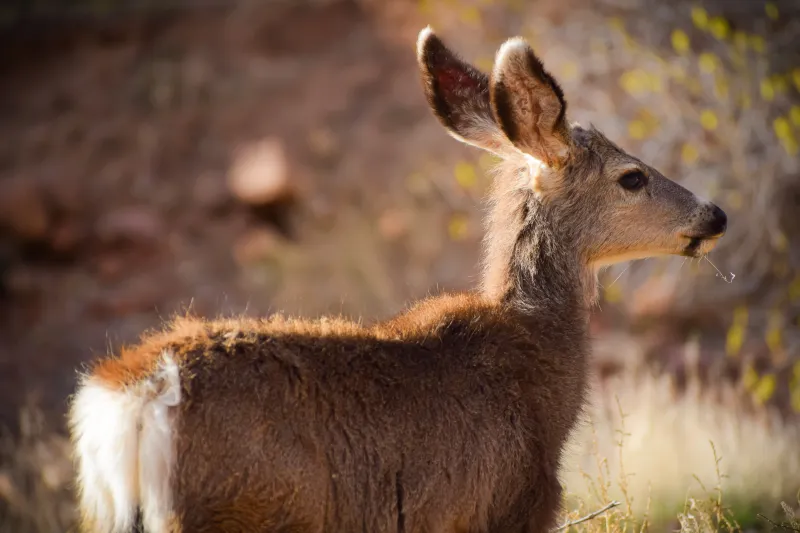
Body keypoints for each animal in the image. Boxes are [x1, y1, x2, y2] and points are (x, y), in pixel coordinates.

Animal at [68, 26, 728, 533]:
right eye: (632, 177)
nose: (715, 214)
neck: (537, 366)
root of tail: (130, 397)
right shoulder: (508, 505)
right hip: (241, 511)